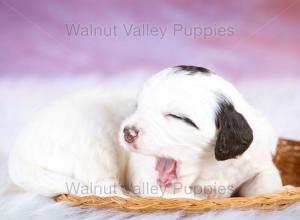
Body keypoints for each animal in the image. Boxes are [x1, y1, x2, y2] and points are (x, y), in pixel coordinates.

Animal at [120, 66, 282, 199]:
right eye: (137, 107)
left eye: (177, 116)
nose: (128, 133)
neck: (208, 166)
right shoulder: (146, 177)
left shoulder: (258, 161)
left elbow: (267, 184)